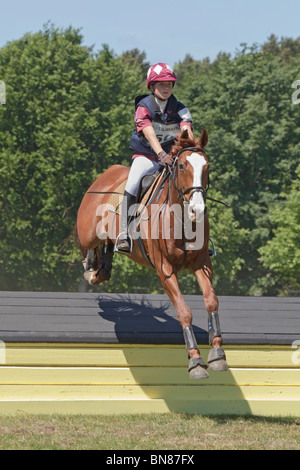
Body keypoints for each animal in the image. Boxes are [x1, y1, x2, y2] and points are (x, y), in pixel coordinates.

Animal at [75, 129, 227, 378]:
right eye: (182, 166)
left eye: (207, 166)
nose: (197, 210)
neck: (180, 219)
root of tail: (108, 173)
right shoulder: (164, 269)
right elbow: (183, 311)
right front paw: (195, 361)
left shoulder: (202, 263)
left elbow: (212, 302)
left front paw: (217, 353)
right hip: (87, 229)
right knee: (89, 244)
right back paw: (90, 267)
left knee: (105, 259)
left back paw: (98, 269)